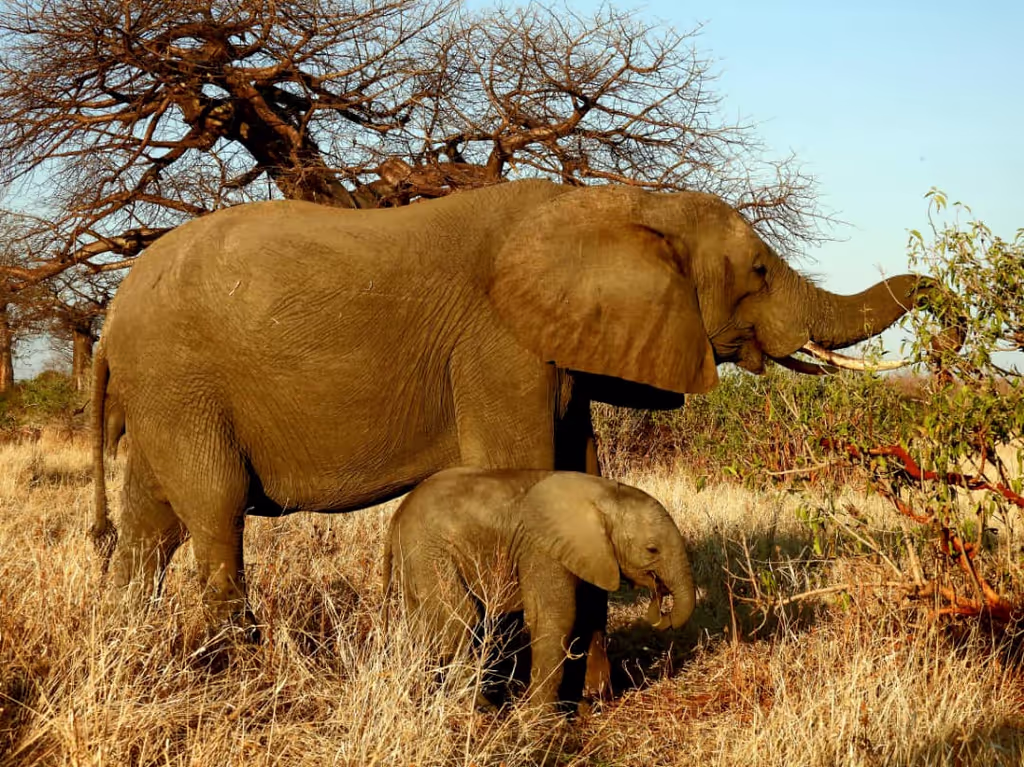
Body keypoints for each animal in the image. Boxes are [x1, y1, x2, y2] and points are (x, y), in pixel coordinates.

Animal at [89, 178, 939, 635]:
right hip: (180, 381)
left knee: (151, 525)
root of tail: (111, 315)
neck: (620, 199)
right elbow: (521, 465)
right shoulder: (498, 348)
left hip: (165, 390)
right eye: (758, 270)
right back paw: (233, 658)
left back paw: (136, 644)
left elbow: (580, 463)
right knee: (215, 509)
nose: (945, 301)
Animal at [382, 467, 695, 708]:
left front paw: (582, 705)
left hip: (417, 559)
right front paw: (542, 719)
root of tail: (397, 516)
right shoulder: (543, 549)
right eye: (652, 549)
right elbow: (557, 617)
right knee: (462, 618)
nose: (660, 611)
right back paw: (483, 708)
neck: (604, 495)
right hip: (430, 551)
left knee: (425, 625)